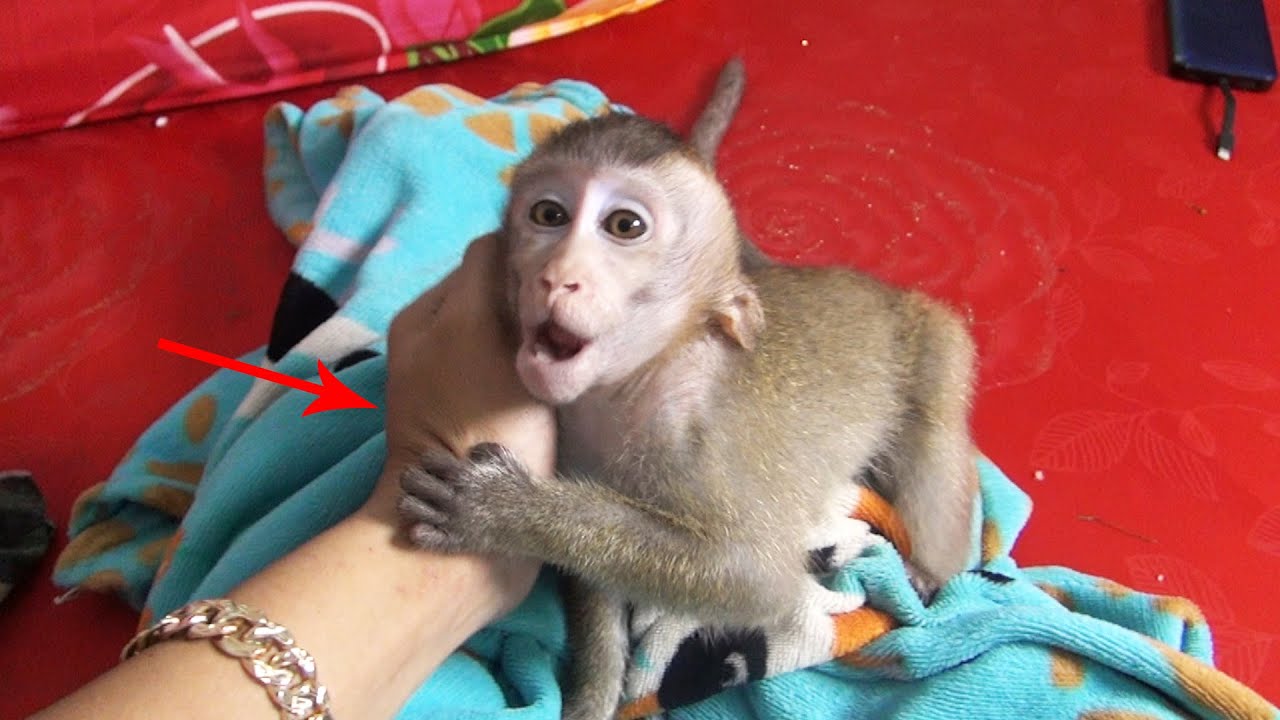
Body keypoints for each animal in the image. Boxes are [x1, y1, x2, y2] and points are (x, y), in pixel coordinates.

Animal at [397, 60, 979, 720]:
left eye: (624, 226)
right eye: (548, 215)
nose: (556, 276)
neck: (634, 382)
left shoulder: (700, 439)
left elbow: (754, 575)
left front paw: (503, 511)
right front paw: (593, 692)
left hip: (935, 342)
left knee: (932, 445)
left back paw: (930, 569)